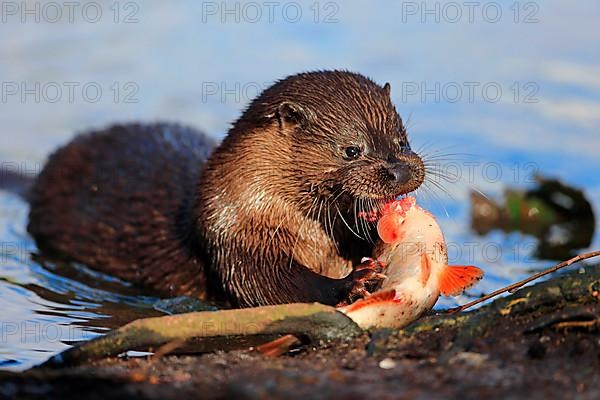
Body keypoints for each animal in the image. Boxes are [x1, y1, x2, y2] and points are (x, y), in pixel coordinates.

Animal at [25, 71, 424, 306]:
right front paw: (352, 283)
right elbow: (268, 284)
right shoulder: (230, 235)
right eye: (351, 150)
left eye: (401, 140)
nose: (400, 171)